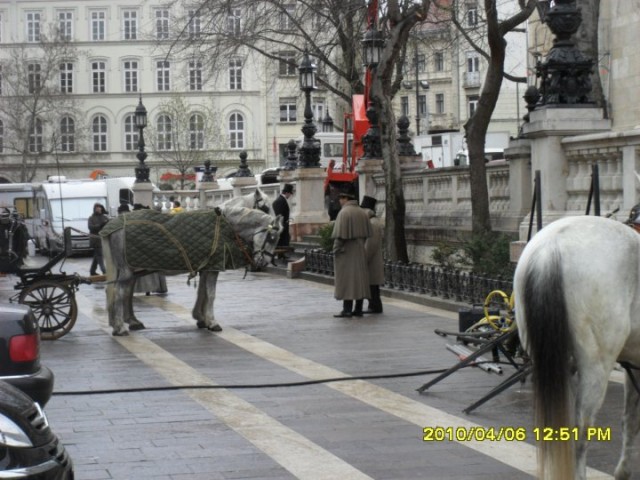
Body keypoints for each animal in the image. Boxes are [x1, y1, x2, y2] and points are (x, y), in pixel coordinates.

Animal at [101, 204, 282, 336]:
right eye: (272, 238)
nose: (263, 263)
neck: (226, 226)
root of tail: (113, 225)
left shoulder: (206, 267)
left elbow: (202, 292)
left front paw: (201, 318)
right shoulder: (213, 268)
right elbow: (210, 294)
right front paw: (212, 322)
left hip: (131, 269)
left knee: (122, 292)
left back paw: (128, 322)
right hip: (127, 270)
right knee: (119, 293)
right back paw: (120, 327)